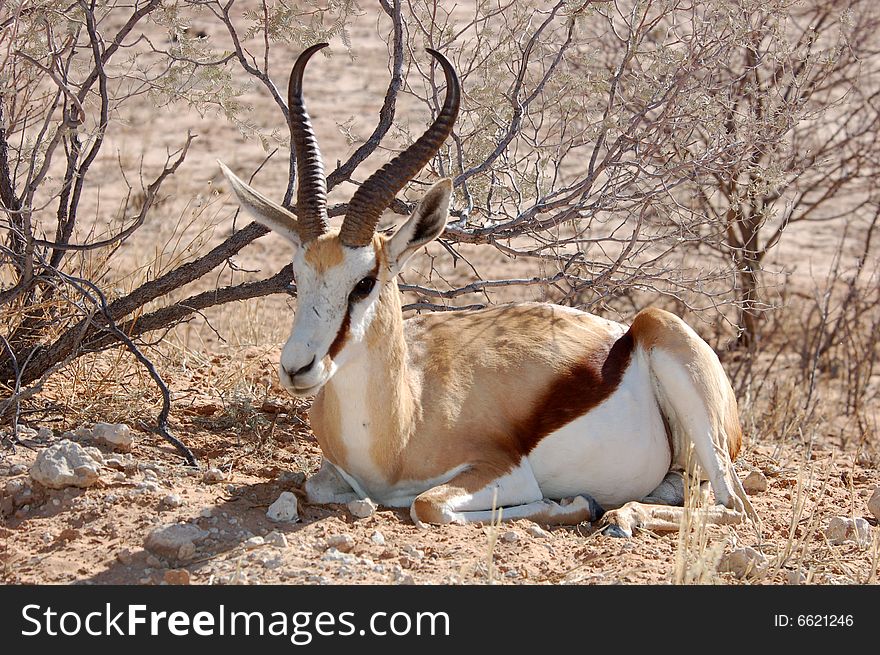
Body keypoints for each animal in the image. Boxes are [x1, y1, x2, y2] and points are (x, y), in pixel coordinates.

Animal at [218, 44, 756, 540]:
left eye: (364, 282)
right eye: (297, 275)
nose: (297, 368)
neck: (402, 424)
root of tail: (626, 331)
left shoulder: (503, 472)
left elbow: (427, 505)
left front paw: (573, 505)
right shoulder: (333, 475)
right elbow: (315, 486)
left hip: (681, 372)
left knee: (736, 508)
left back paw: (622, 515)